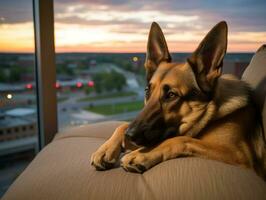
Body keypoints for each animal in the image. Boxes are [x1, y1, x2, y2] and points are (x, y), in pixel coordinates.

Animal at [90, 21, 264, 180]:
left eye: (171, 95)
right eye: (147, 91)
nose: (130, 136)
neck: (213, 112)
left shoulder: (237, 155)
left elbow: (180, 139)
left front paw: (142, 154)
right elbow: (122, 125)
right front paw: (106, 149)